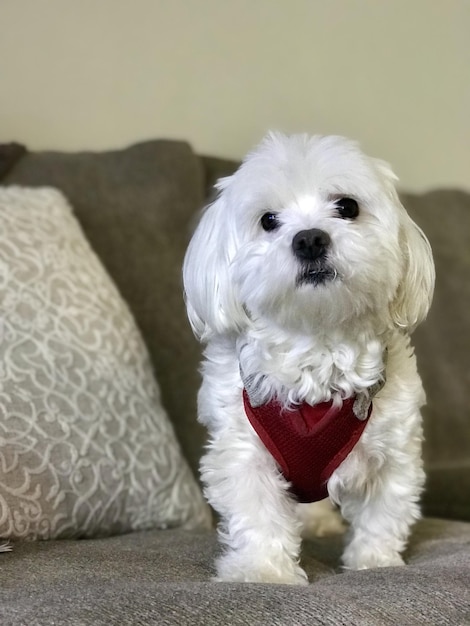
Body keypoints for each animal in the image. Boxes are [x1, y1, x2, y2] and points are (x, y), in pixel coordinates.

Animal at [182, 130, 436, 580]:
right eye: (268, 220)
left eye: (347, 206)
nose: (310, 238)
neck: (316, 343)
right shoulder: (244, 452)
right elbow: (258, 514)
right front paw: (263, 571)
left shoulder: (393, 452)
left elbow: (383, 512)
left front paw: (374, 563)